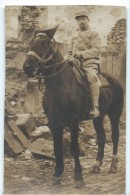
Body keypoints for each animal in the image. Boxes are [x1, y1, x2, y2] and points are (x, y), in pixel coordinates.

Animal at [22, 27, 123, 187]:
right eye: (31, 42)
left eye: (45, 43)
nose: (27, 67)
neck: (59, 86)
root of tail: (115, 80)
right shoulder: (53, 122)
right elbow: (57, 147)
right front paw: (57, 174)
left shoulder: (73, 121)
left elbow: (74, 148)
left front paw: (78, 177)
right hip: (98, 117)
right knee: (101, 137)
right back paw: (96, 165)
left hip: (114, 114)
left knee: (115, 136)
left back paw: (113, 165)